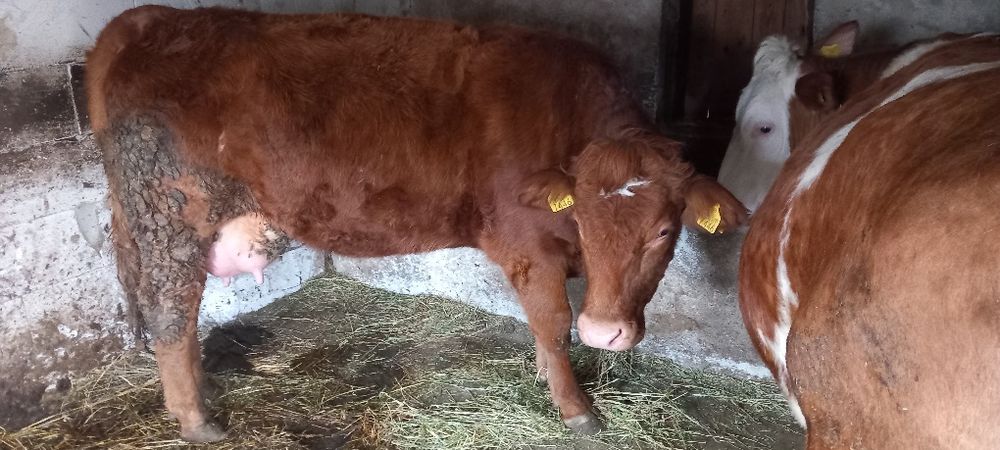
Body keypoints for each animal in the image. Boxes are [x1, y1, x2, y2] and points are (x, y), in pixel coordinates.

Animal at [86, 6, 746, 442]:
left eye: (664, 230)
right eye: (580, 218)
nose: (606, 334)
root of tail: (146, 19)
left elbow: (544, 329)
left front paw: (547, 374)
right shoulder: (528, 244)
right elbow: (555, 324)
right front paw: (575, 406)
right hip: (172, 215)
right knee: (171, 312)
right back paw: (197, 418)